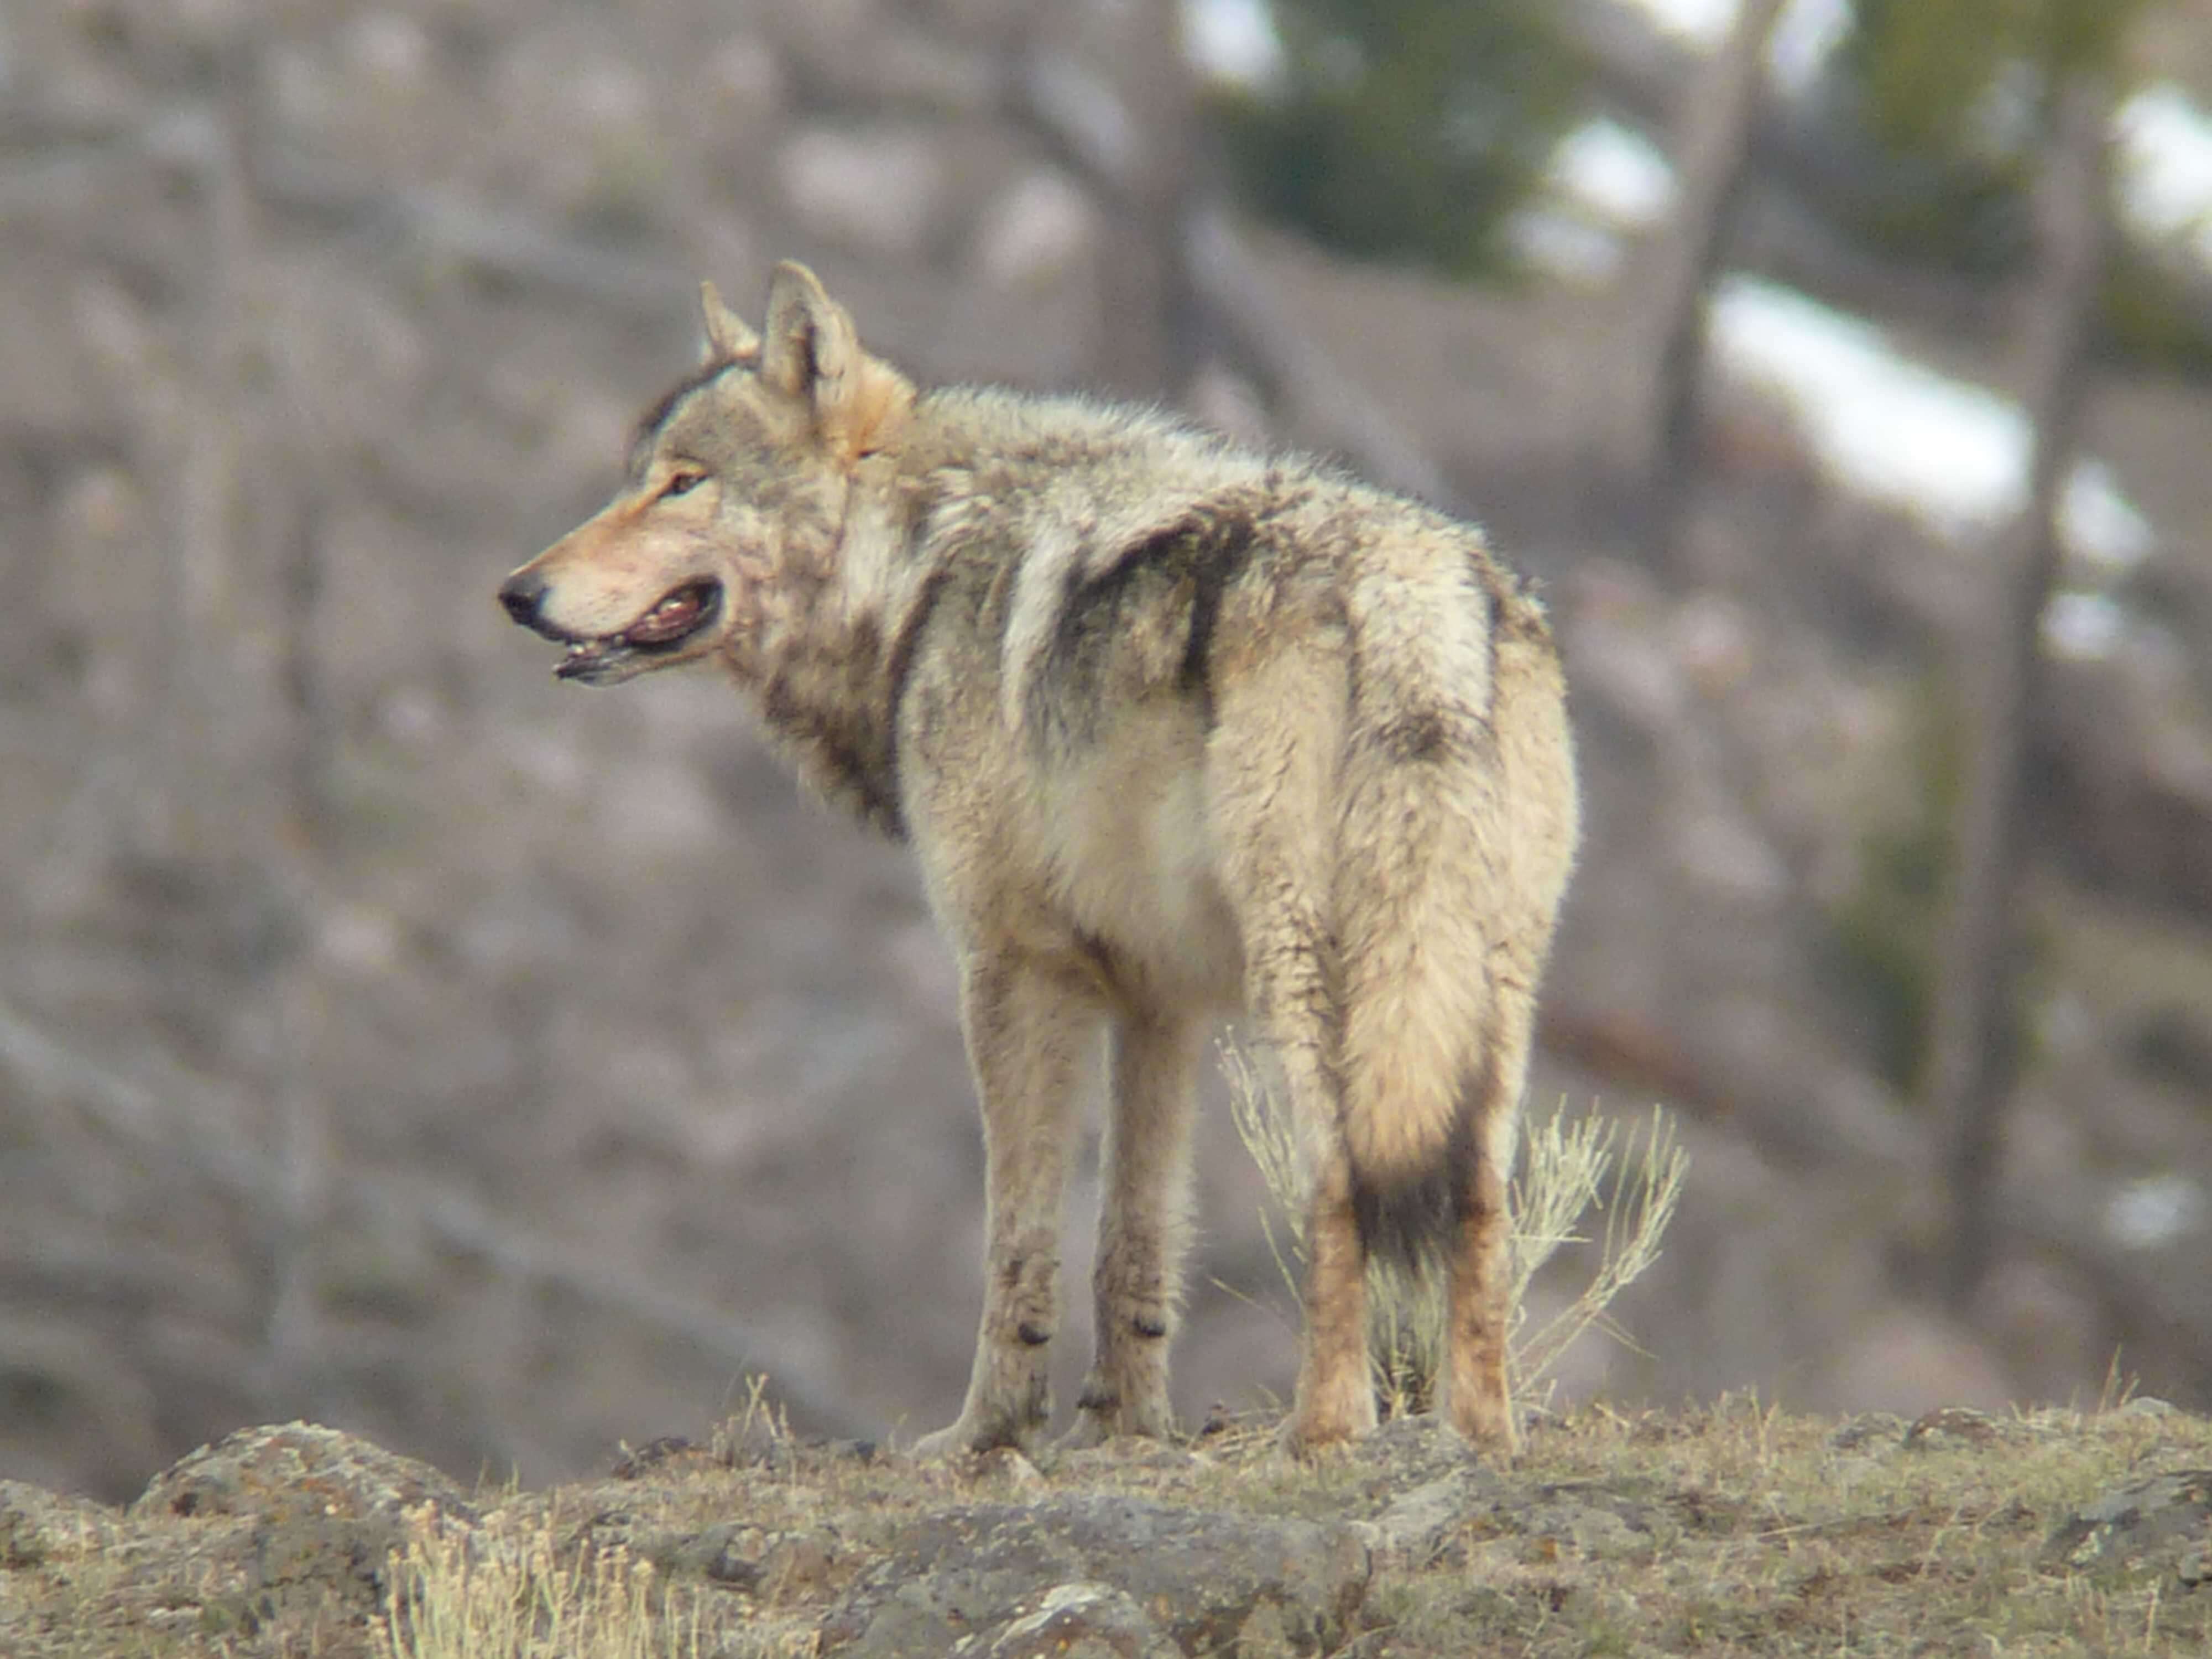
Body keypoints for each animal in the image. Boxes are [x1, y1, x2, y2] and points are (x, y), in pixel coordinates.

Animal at [502, 263, 1575, 1469]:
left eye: (683, 484)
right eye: (633, 481)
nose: (517, 593)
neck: (914, 573)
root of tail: (1411, 579)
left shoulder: (1010, 967)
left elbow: (1015, 1239)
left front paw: (986, 1436)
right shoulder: (1159, 1004)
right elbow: (1132, 1246)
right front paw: (1126, 1431)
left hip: (1311, 967)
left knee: (1342, 1178)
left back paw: (1324, 1435)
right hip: (1480, 986)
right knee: (1477, 1191)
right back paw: (1483, 1439)